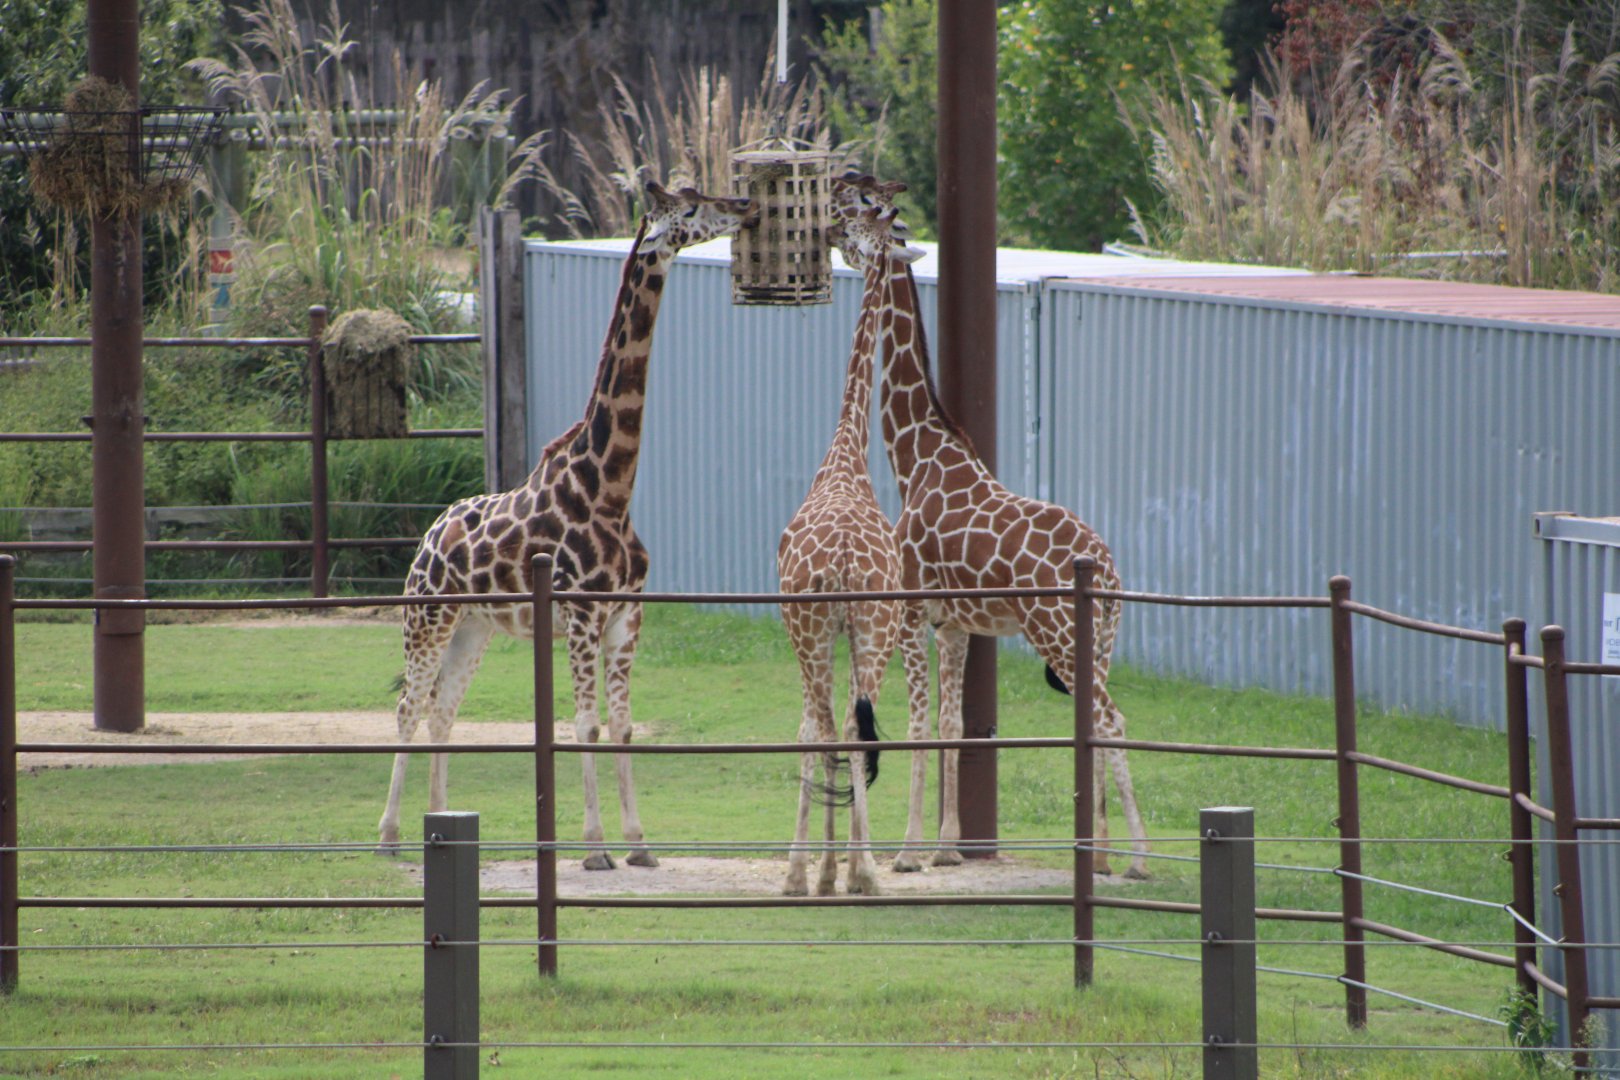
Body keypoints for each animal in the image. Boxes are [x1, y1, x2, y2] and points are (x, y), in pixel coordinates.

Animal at [377, 181, 758, 868]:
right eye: (689, 208)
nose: (742, 206)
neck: (610, 488)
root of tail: (428, 536)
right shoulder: (580, 616)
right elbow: (584, 724)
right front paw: (596, 846)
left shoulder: (627, 616)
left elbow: (624, 723)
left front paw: (639, 844)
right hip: (427, 617)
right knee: (408, 707)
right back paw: (390, 836)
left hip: (474, 628)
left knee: (444, 710)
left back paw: (440, 820)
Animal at [858, 175, 1151, 877]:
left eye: (864, 218)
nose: (837, 243)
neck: (913, 458)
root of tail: (1108, 566)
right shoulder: (956, 625)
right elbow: (953, 727)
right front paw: (946, 848)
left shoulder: (912, 611)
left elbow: (916, 725)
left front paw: (907, 853)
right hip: (1102, 636)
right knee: (1098, 718)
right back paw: (1100, 854)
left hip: (1055, 630)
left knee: (1112, 718)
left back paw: (1135, 858)